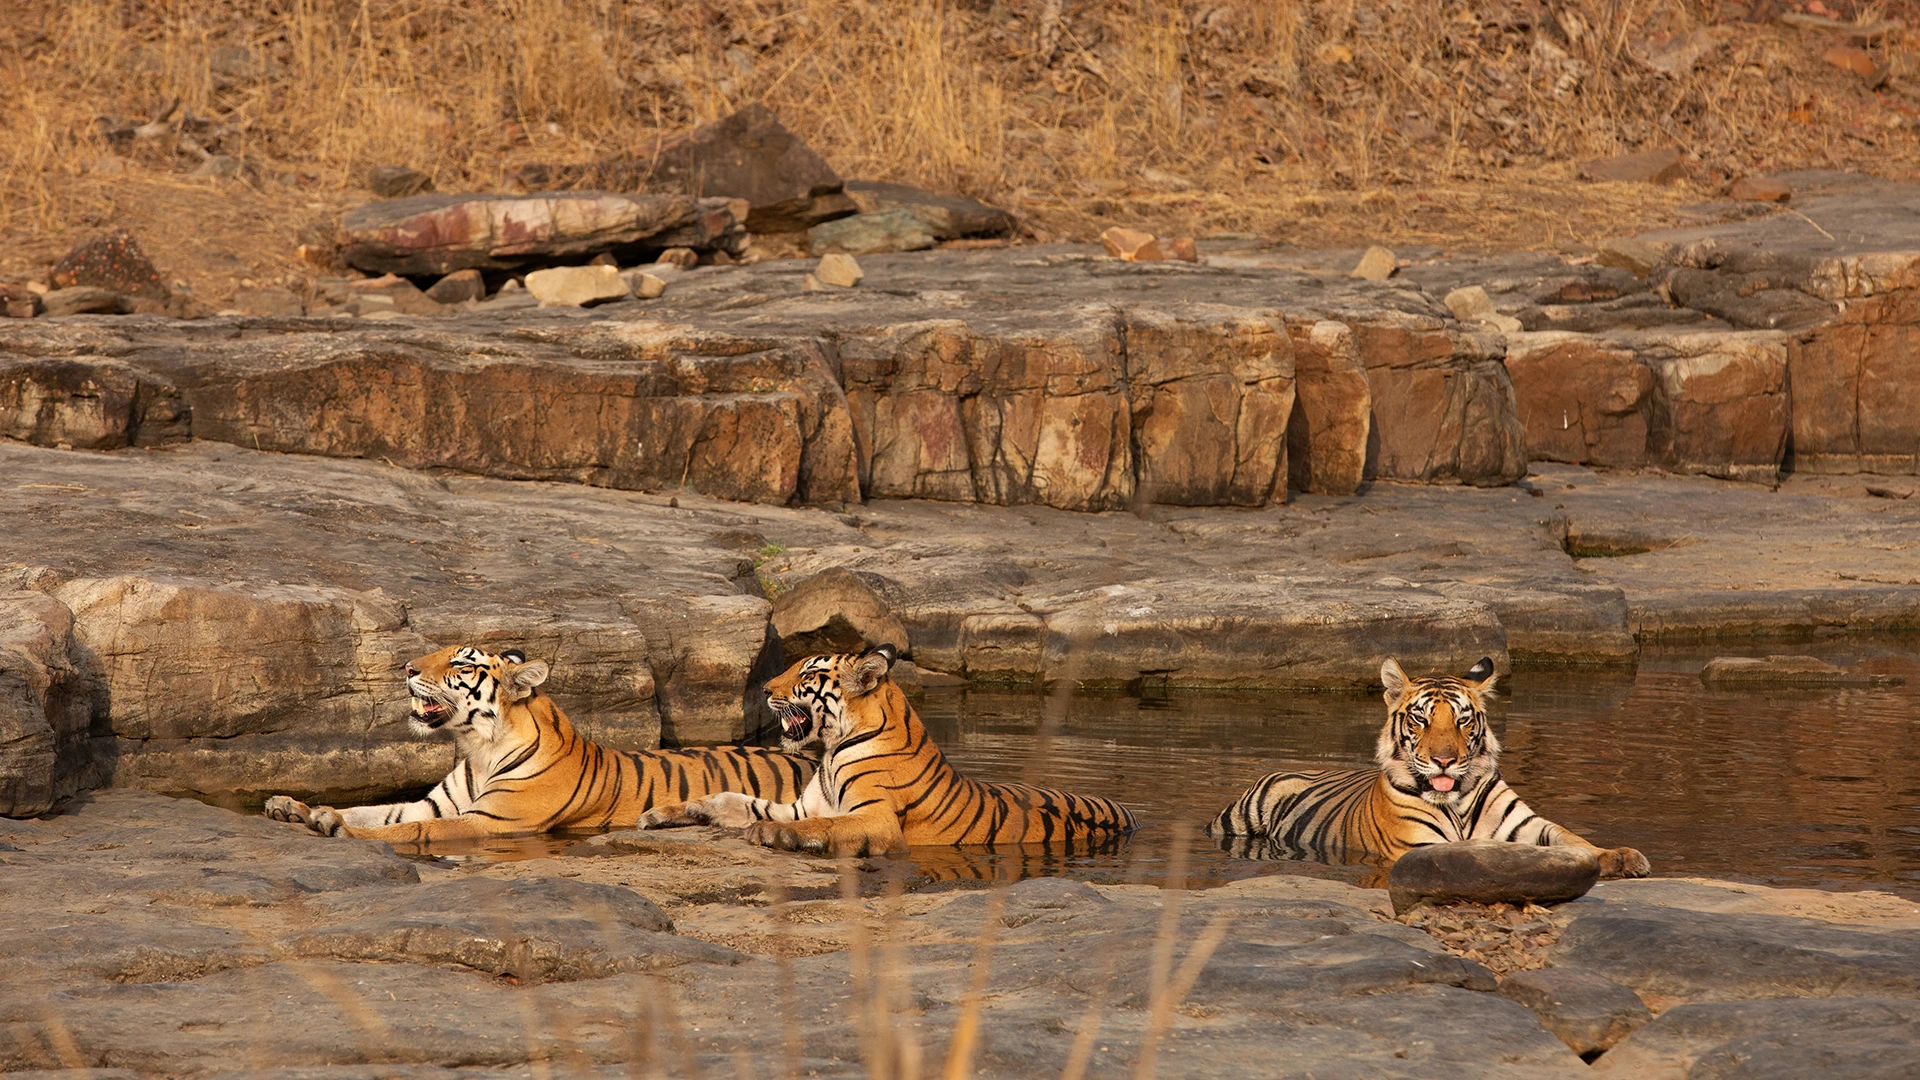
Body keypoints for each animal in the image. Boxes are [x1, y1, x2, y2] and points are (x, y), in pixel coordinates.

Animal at [263, 644, 816, 844]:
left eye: (459, 663)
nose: (406, 668)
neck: (478, 747)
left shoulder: (490, 821)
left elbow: (400, 831)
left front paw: (338, 828)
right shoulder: (435, 805)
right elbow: (377, 811)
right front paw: (294, 806)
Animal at [639, 645, 1138, 857]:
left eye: (806, 673)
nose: (763, 689)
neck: (832, 749)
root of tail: (1131, 813)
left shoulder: (875, 816)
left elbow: (824, 825)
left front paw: (770, 835)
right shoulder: (800, 806)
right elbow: (731, 798)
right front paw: (666, 813)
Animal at [1209, 656, 1650, 879]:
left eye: (1462, 719)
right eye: (1421, 719)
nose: (1444, 760)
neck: (1457, 803)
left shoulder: (1527, 825)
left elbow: (1572, 839)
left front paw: (1621, 857)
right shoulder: (1417, 847)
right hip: (1240, 819)